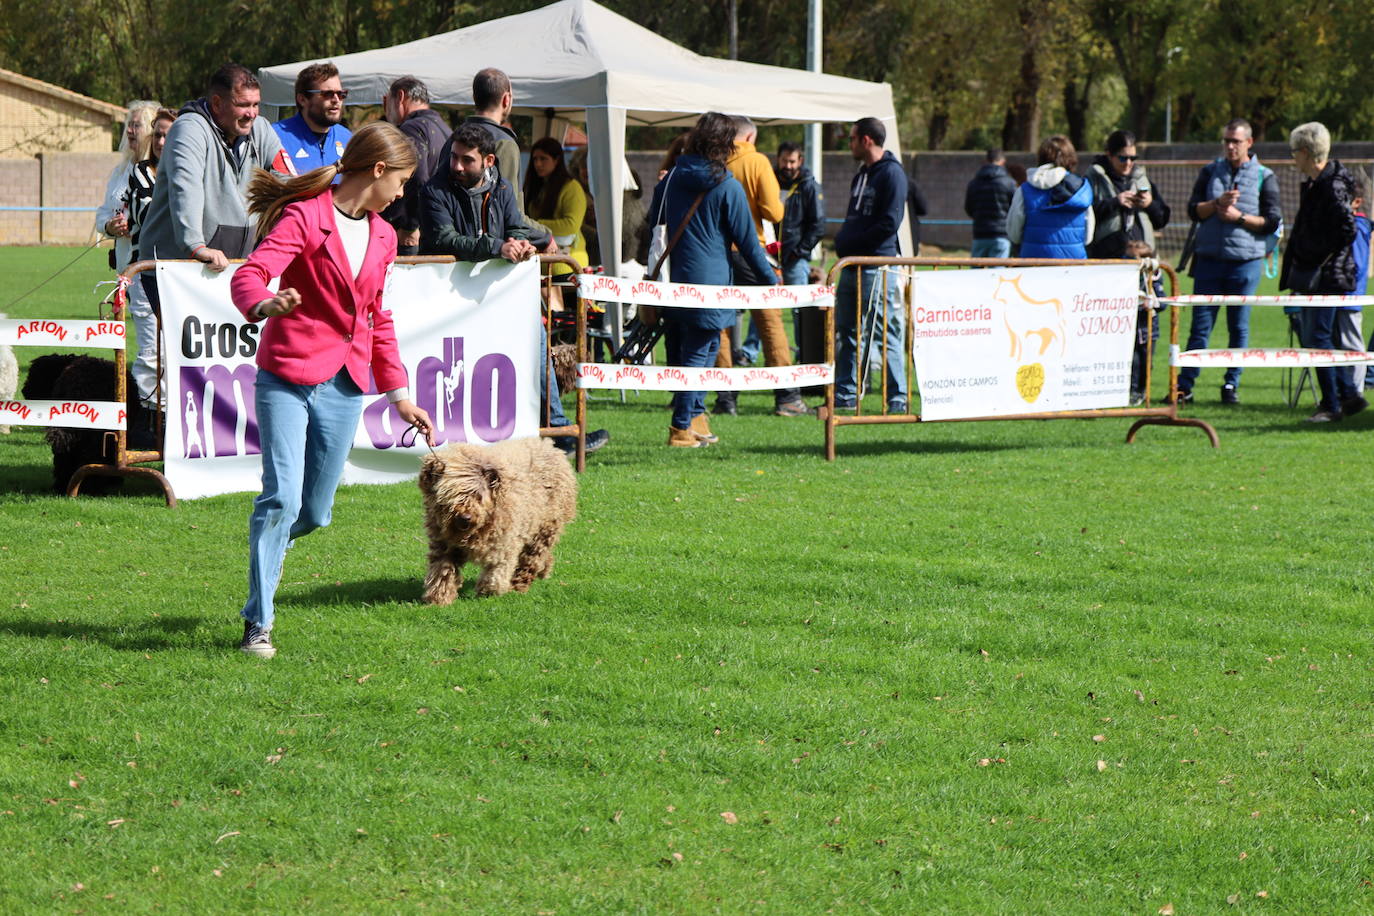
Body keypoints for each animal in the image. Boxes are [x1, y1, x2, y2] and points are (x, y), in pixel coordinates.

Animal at [412, 436, 574, 601]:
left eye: (477, 494)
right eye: (449, 495)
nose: (465, 517)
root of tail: (549, 445)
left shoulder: (504, 542)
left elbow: (496, 569)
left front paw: (488, 592)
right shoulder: (445, 545)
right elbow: (442, 571)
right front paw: (438, 597)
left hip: (545, 526)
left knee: (531, 559)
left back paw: (519, 585)